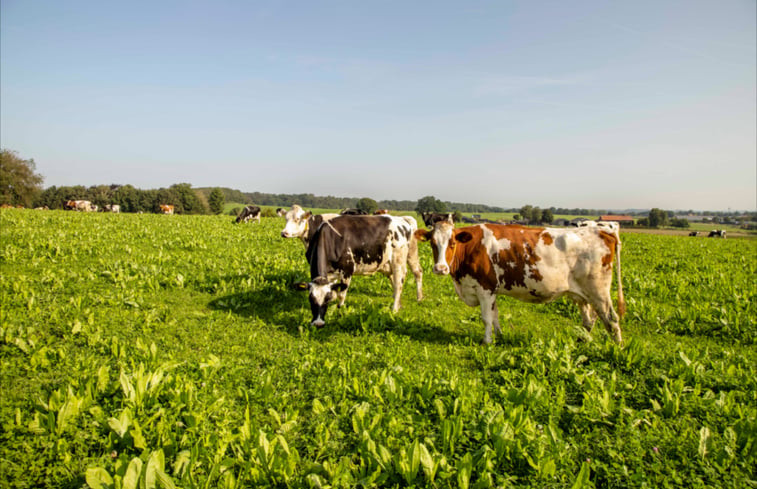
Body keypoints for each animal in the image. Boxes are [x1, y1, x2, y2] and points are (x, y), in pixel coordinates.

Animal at [416, 217, 624, 344]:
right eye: (433, 244)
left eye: (452, 243)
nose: (440, 268)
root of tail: (603, 231)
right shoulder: (493, 291)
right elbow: (495, 315)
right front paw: (499, 337)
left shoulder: (485, 288)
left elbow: (486, 318)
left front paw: (486, 341)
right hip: (582, 294)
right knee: (589, 319)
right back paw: (581, 342)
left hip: (599, 291)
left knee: (611, 318)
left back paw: (617, 348)